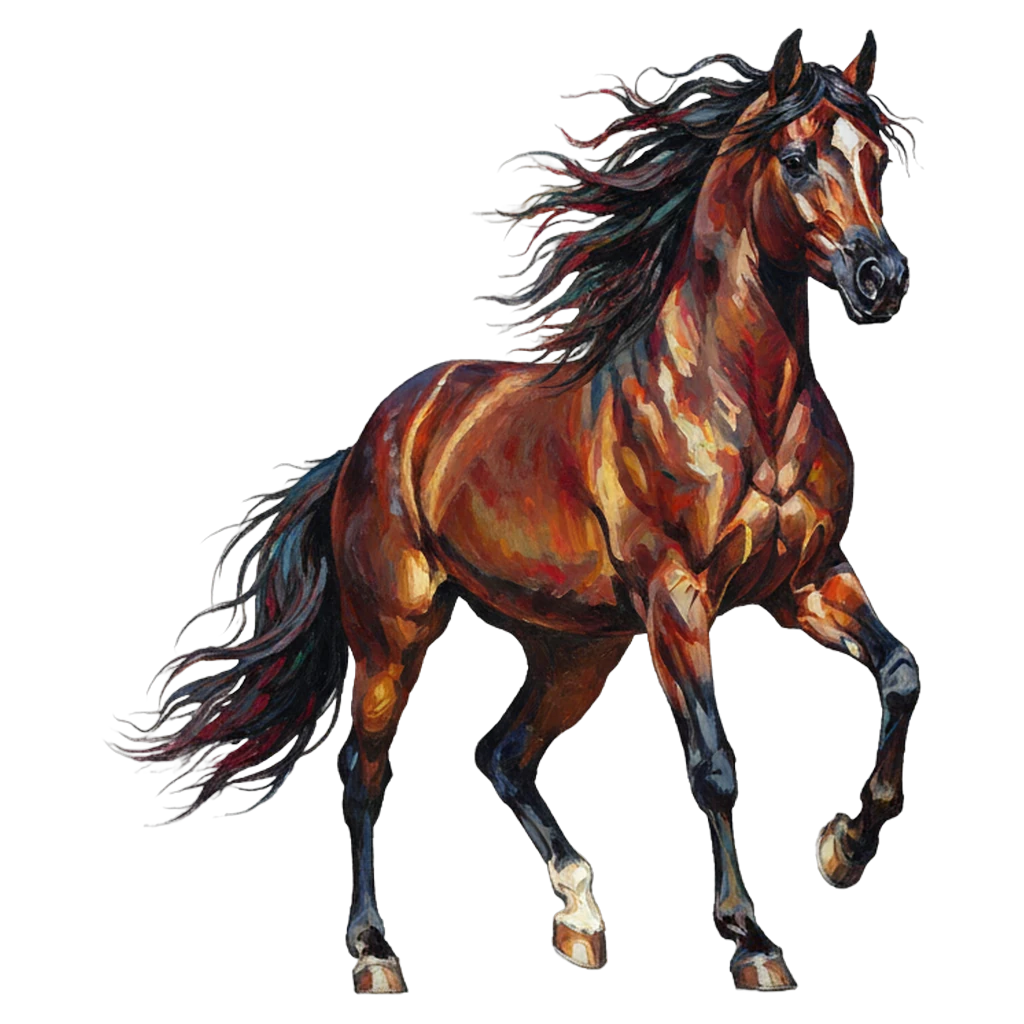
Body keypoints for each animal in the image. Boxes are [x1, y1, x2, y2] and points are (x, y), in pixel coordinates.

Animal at [106, 29, 923, 995]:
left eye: (877, 159)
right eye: (796, 160)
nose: (882, 276)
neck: (739, 402)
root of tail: (375, 435)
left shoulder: (808, 582)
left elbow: (900, 674)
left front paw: (847, 846)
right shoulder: (677, 599)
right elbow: (714, 764)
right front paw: (753, 942)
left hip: (576, 647)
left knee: (501, 752)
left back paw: (579, 915)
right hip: (393, 635)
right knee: (364, 775)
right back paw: (376, 953)